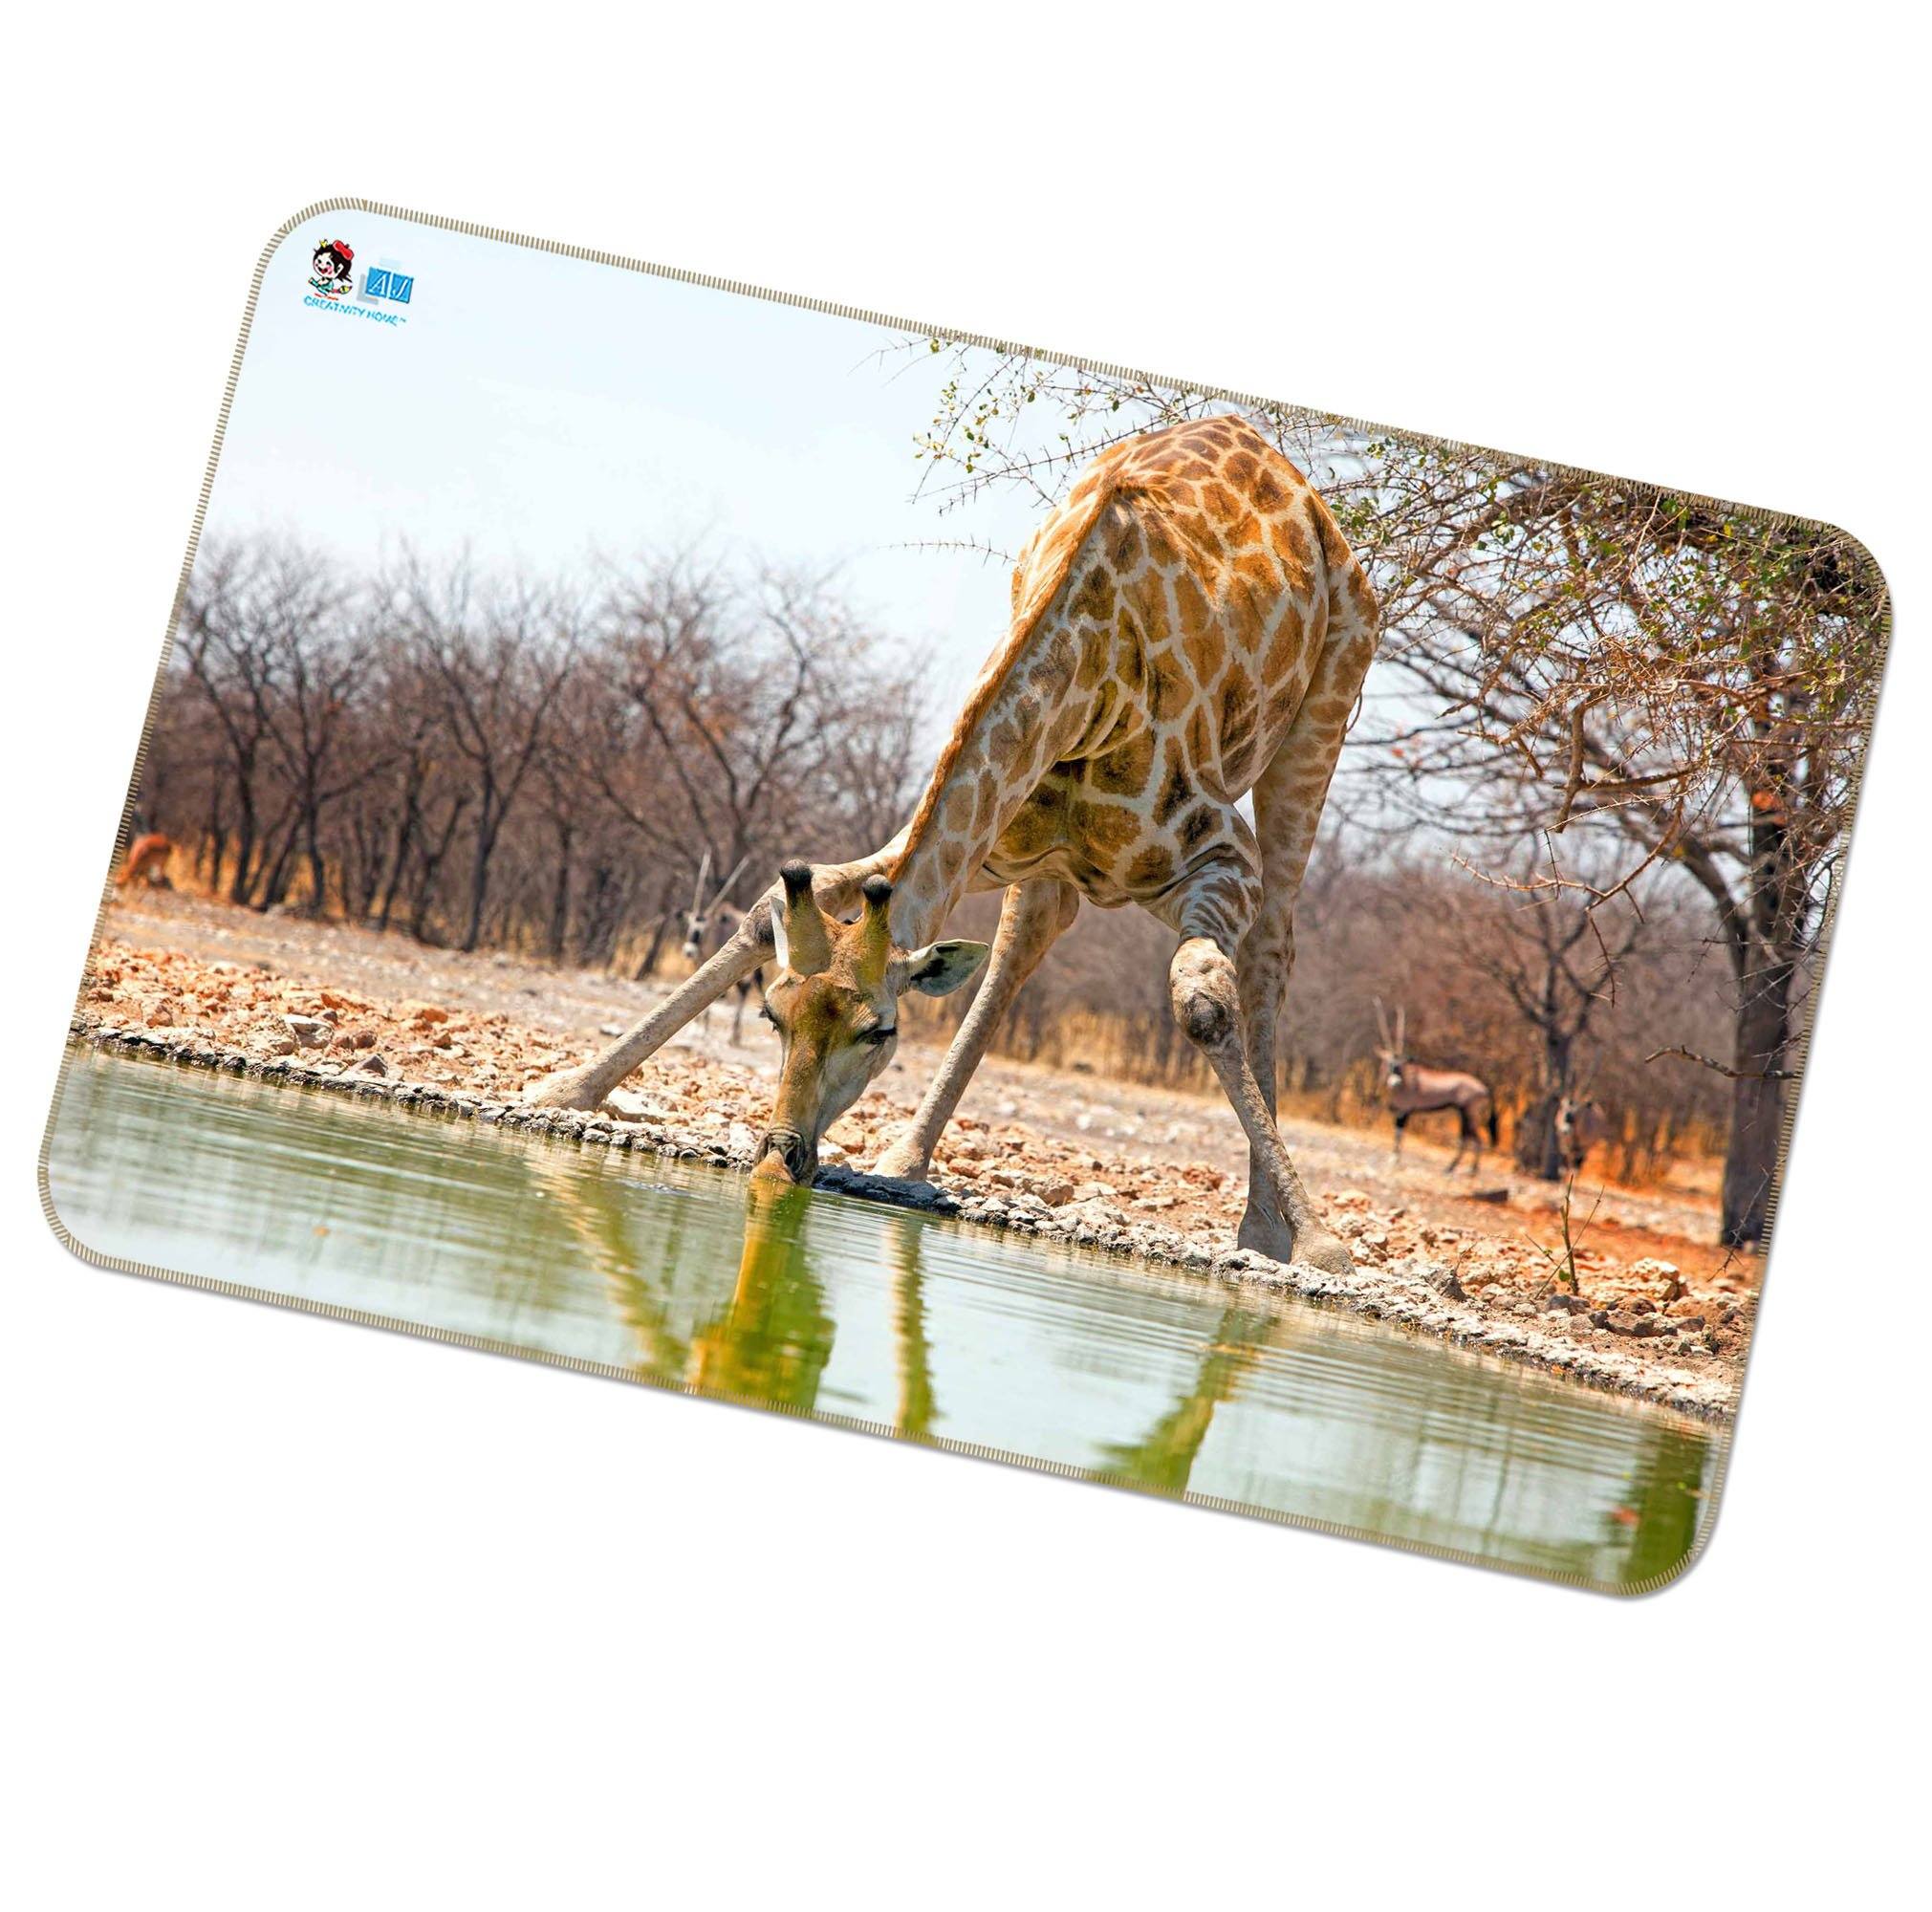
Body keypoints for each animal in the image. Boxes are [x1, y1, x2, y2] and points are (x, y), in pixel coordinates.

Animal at [528, 414, 1378, 1274]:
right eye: (773, 1016)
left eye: (881, 1032)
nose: (780, 1158)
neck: (1085, 682)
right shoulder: (977, 840)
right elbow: (783, 901)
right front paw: (564, 1091)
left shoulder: (1217, 858)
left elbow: (1201, 997)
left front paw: (1318, 1243)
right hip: (1048, 862)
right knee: (1025, 937)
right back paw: (907, 1158)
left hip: (1323, 714)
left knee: (1270, 948)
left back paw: (1265, 1228)